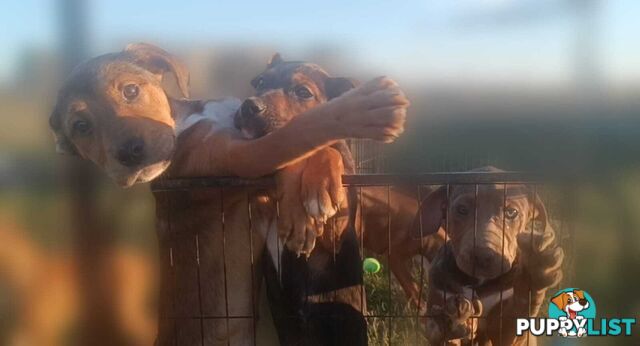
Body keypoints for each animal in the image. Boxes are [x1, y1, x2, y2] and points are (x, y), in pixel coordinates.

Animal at [50, 44, 410, 344]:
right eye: (81, 127)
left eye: (131, 90)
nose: (129, 153)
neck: (186, 117)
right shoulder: (240, 159)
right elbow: (302, 133)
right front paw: (367, 110)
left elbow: (311, 145)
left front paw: (309, 199)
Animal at [418, 166, 564, 344]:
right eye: (462, 209)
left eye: (511, 212)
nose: (482, 255)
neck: (478, 283)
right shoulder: (440, 290)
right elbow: (439, 332)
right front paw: (451, 322)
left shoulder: (504, 329)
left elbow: (518, 312)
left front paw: (533, 272)